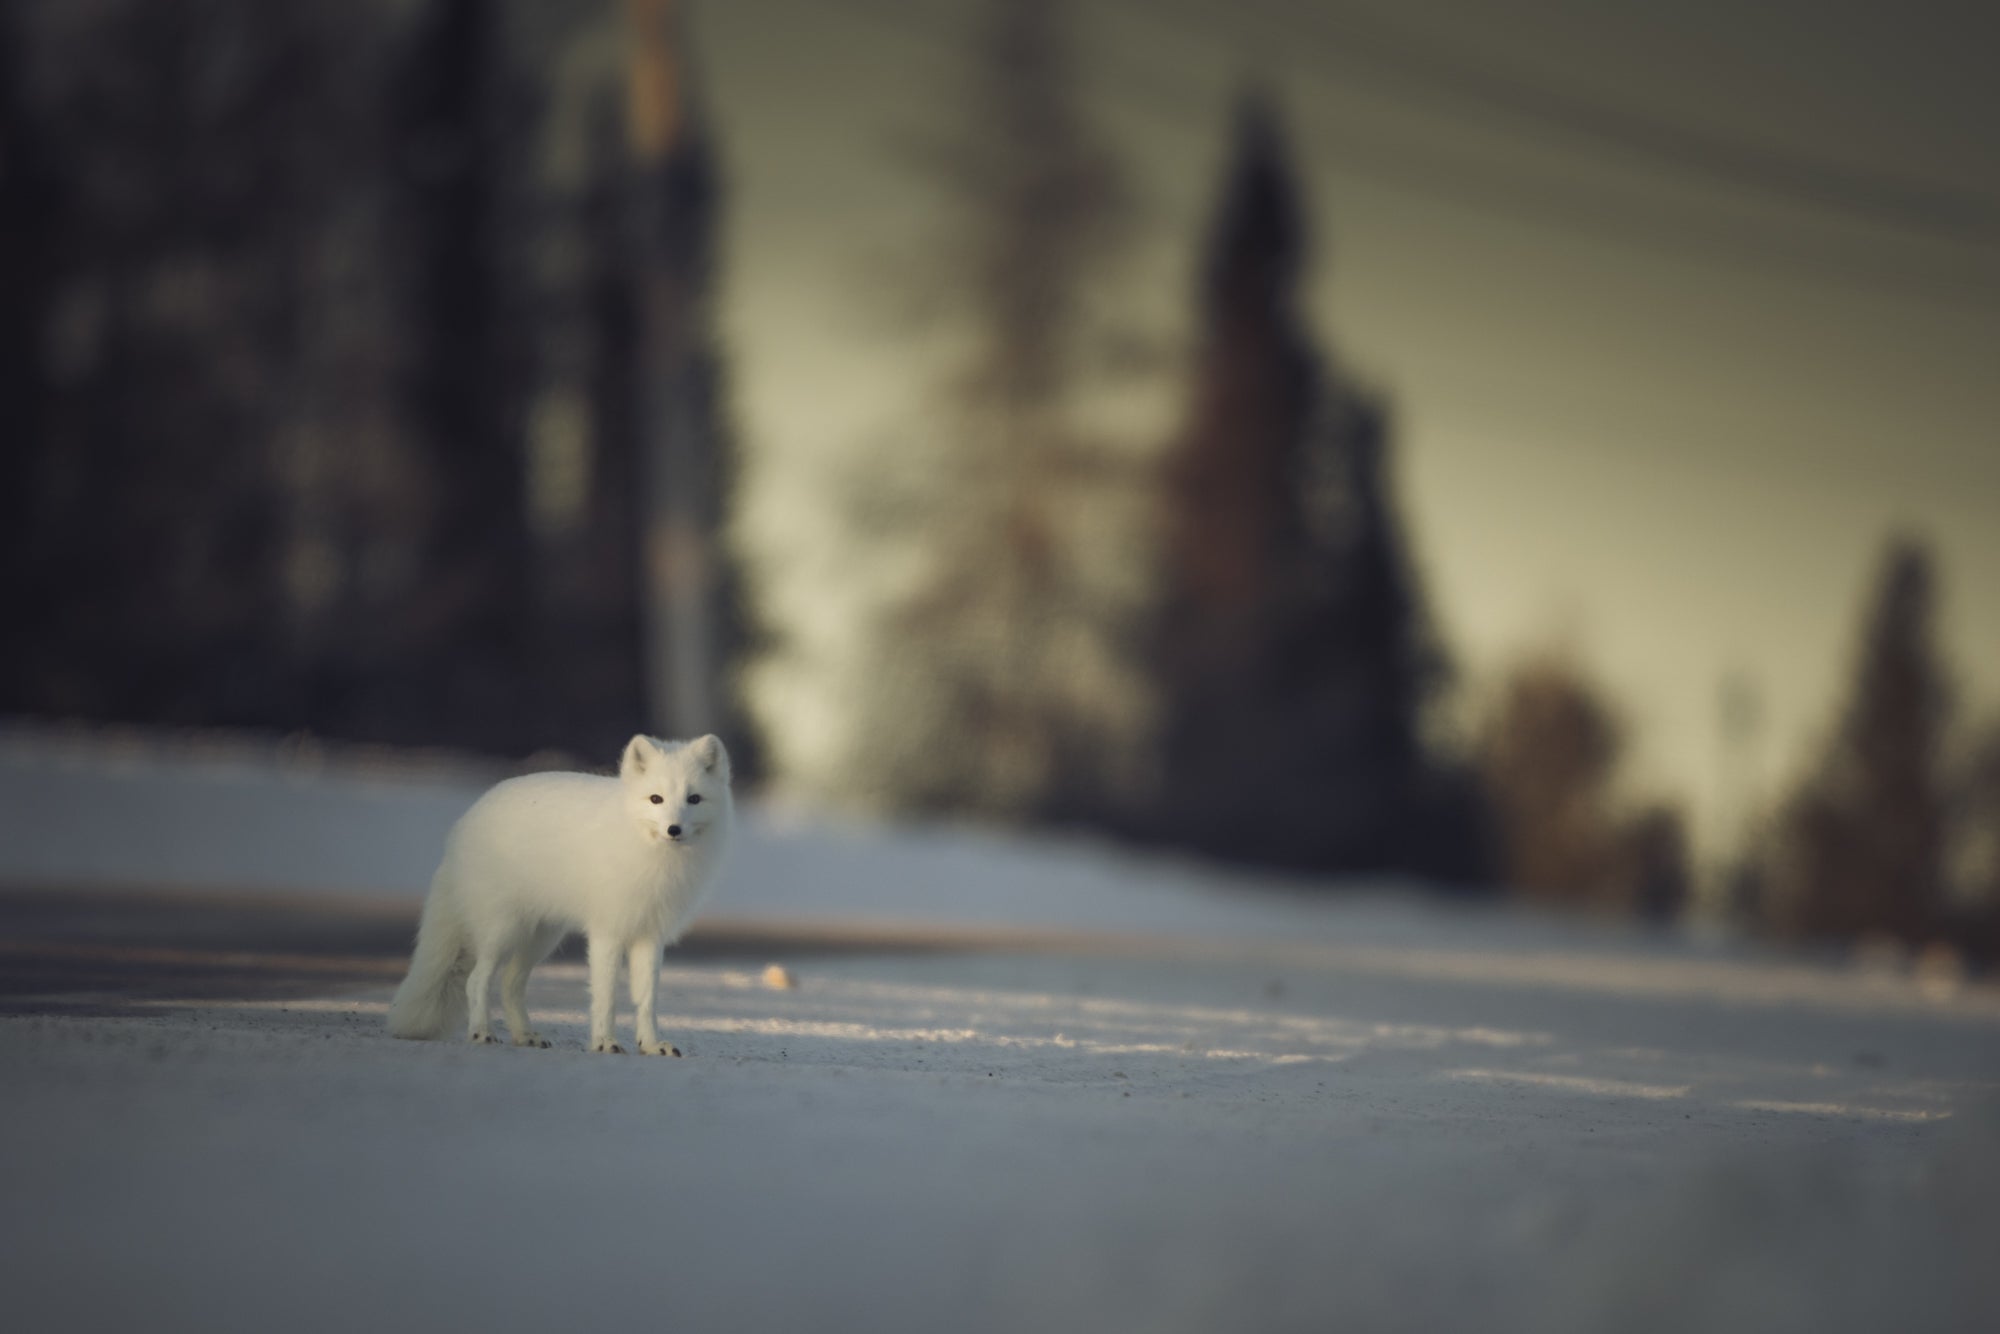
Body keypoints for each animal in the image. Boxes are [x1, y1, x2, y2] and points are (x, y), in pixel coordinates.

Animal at [382, 732, 736, 1056]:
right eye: (656, 799)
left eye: (694, 799)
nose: (674, 829)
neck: (653, 854)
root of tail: (463, 824)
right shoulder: (607, 931)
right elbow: (606, 996)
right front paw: (604, 1042)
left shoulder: (649, 933)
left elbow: (647, 1000)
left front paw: (650, 1044)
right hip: (503, 930)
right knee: (477, 980)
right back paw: (482, 1032)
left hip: (542, 937)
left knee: (510, 984)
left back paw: (525, 1036)